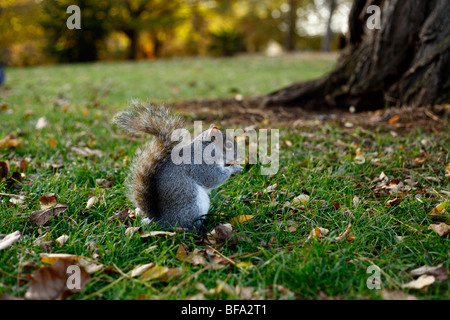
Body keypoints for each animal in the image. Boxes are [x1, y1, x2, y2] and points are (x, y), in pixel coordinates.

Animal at [112, 101, 243, 229]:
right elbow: (214, 177)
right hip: (192, 204)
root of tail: (160, 221)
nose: (240, 155)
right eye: (229, 145)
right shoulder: (202, 164)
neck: (206, 147)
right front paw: (235, 168)